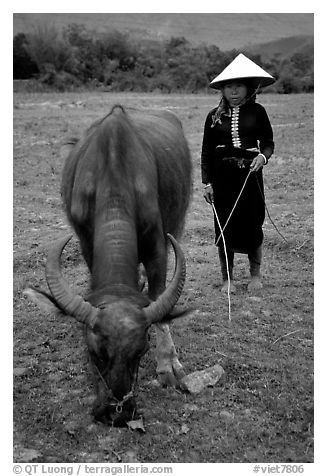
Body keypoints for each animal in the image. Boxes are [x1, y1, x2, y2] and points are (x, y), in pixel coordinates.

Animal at [27, 106, 195, 426]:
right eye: (94, 351)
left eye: (141, 351)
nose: (117, 414)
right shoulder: (85, 241)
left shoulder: (158, 246)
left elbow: (159, 298)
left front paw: (169, 365)